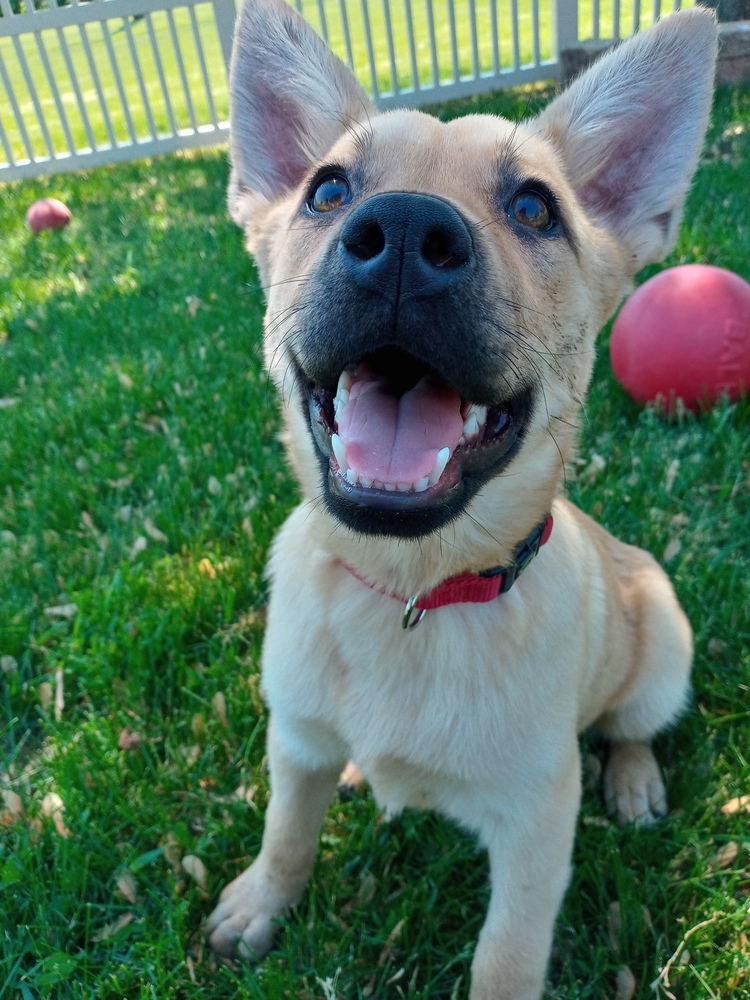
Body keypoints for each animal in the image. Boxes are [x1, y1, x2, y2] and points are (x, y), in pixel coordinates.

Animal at [204, 3, 716, 996]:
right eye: (327, 190)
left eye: (535, 208)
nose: (404, 233)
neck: (411, 593)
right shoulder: (296, 740)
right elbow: (286, 833)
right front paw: (259, 904)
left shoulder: (536, 826)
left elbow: (505, 955)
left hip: (661, 657)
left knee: (633, 727)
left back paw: (634, 781)